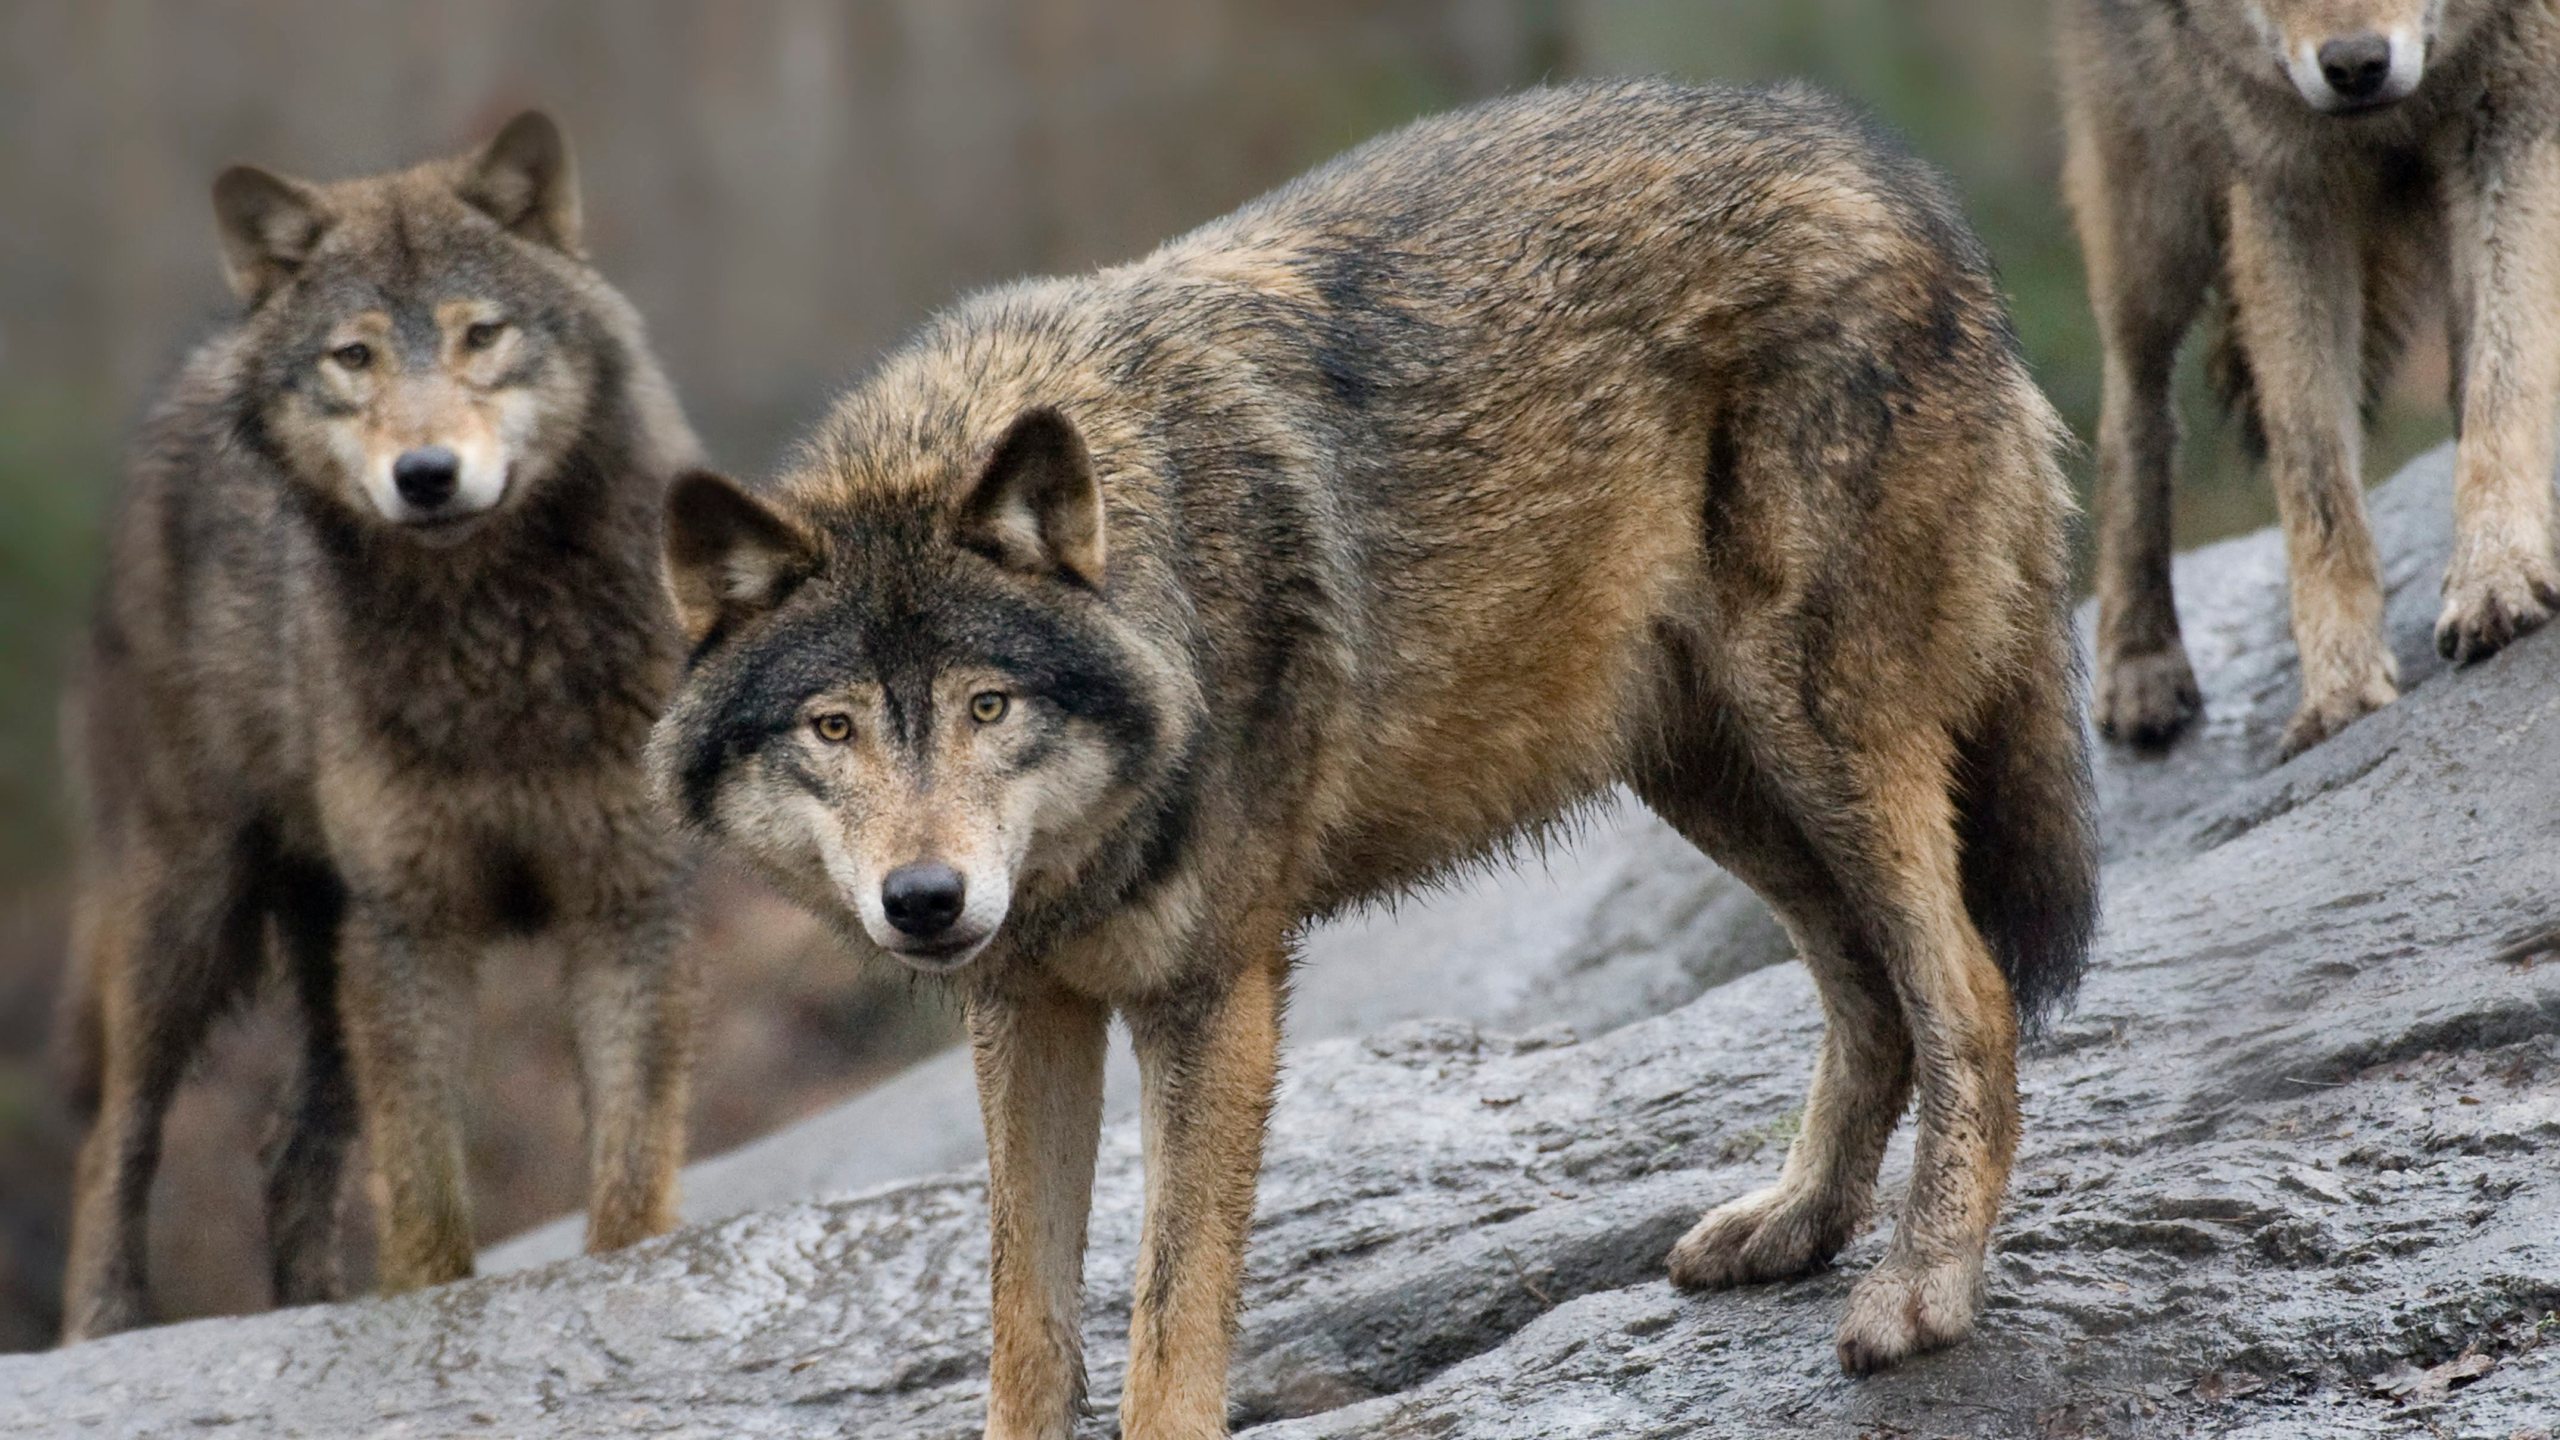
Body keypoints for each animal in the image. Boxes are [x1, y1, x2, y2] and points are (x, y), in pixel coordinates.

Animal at [60, 117, 701, 1342]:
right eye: (353, 358)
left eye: (479, 335)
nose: (427, 475)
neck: (493, 649)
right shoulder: (414, 925)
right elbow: (423, 1182)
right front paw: (429, 1311)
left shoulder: (627, 903)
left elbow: (630, 1166)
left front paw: (623, 1284)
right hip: (193, 911)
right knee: (114, 1137)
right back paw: (101, 1329)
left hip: (320, 951)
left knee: (284, 1144)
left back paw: (308, 1310)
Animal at [655, 81, 2099, 1434]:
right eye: (833, 726)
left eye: (988, 706)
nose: (924, 900)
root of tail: (1886, 166)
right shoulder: (1027, 1007)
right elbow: (1026, 1330)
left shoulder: (1213, 1000)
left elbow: (1170, 1326)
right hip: (1710, 778)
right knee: (1869, 995)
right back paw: (1794, 1225)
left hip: (1820, 733)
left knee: (1968, 991)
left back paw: (1922, 1290)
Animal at [2058, 0, 2560, 758]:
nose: (2356, 67)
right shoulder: (2281, 181)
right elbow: (2313, 472)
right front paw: (2339, 689)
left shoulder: (2512, 116)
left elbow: (2505, 382)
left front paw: (2493, 577)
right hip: (2153, 208)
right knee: (2130, 409)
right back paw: (2139, 664)